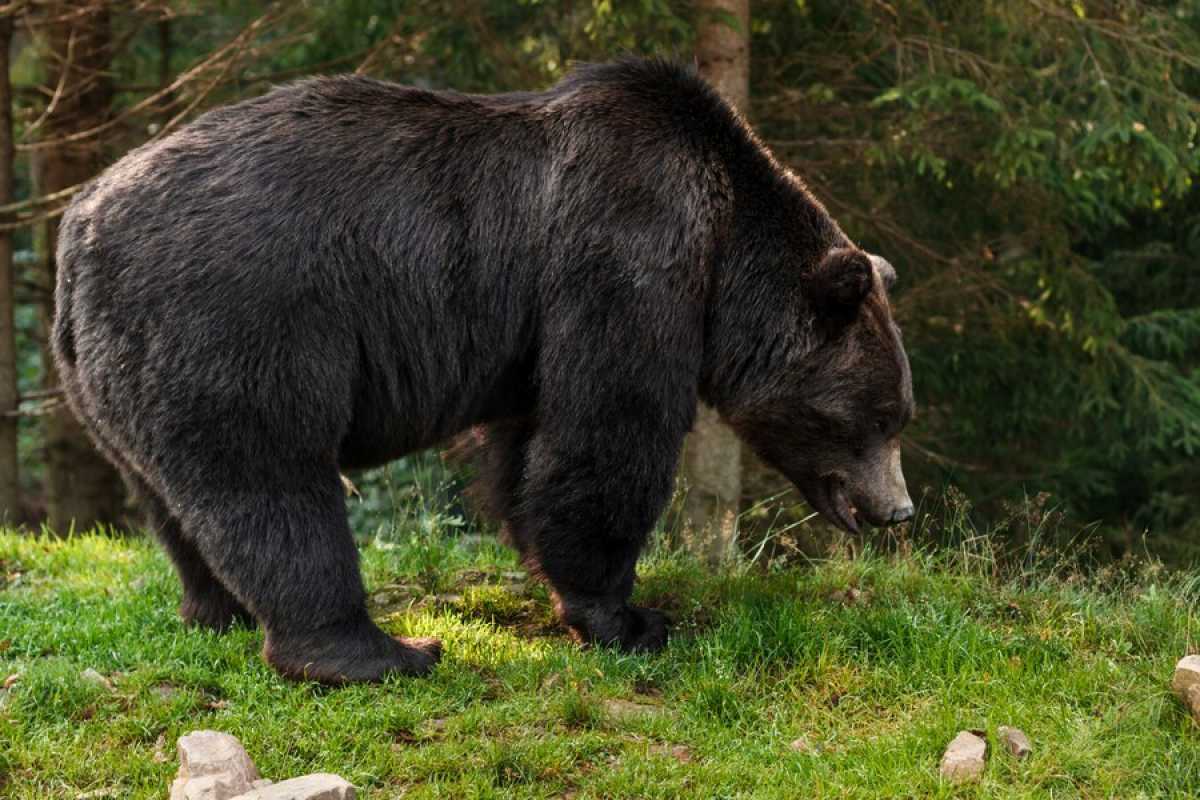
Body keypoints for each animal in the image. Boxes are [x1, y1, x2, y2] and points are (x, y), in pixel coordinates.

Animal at [51, 57, 912, 681]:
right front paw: (629, 618)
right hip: (239, 317)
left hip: (111, 371)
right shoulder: (628, 255)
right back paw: (378, 652)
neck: (726, 250)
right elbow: (609, 433)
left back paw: (215, 611)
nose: (899, 510)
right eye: (878, 416)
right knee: (272, 482)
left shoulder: (535, 334)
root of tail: (80, 225)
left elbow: (531, 447)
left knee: (170, 498)